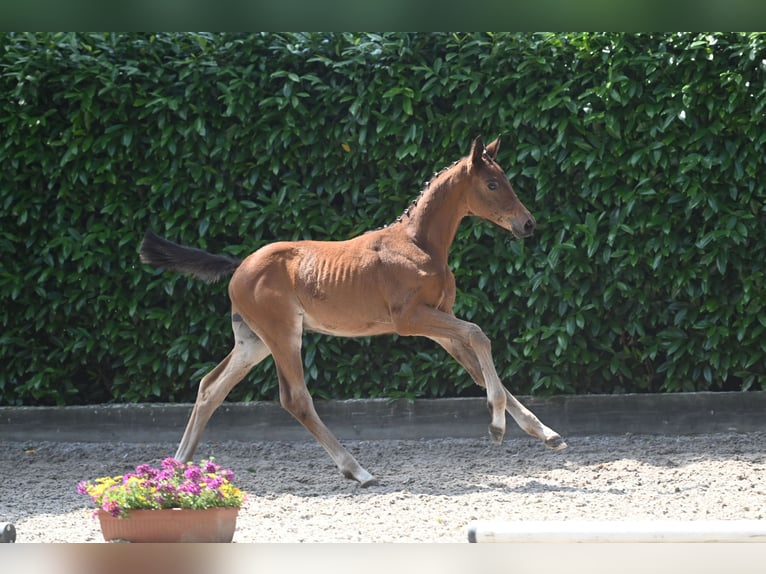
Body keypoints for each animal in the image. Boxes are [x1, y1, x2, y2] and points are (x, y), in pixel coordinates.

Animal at [141, 136, 568, 486]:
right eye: (493, 184)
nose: (527, 224)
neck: (418, 244)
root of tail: (239, 266)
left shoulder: (437, 322)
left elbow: (478, 369)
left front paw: (547, 434)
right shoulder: (411, 320)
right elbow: (480, 334)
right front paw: (497, 426)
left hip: (253, 341)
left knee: (210, 387)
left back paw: (176, 469)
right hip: (282, 334)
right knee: (294, 398)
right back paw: (357, 470)